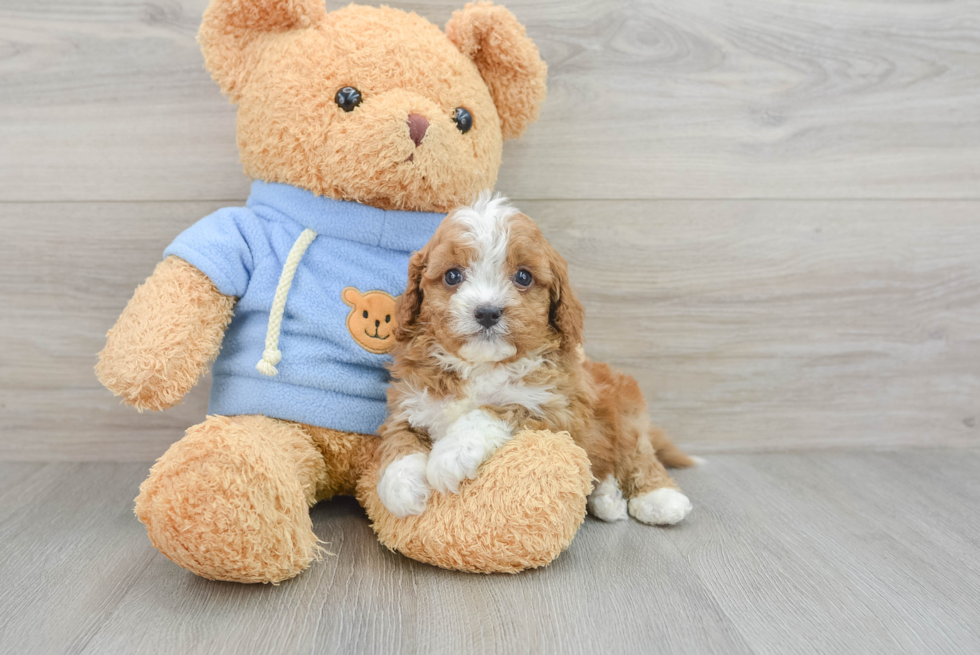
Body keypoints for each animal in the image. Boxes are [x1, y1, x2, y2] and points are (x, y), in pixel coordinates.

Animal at [376, 195, 696, 528]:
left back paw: (660, 499)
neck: (482, 365)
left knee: (637, 456)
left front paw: (450, 454)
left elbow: (492, 411)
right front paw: (399, 486)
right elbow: (398, 438)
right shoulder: (411, 402)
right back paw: (607, 499)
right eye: (452, 275)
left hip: (625, 416)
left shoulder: (558, 409)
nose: (487, 312)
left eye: (523, 276)